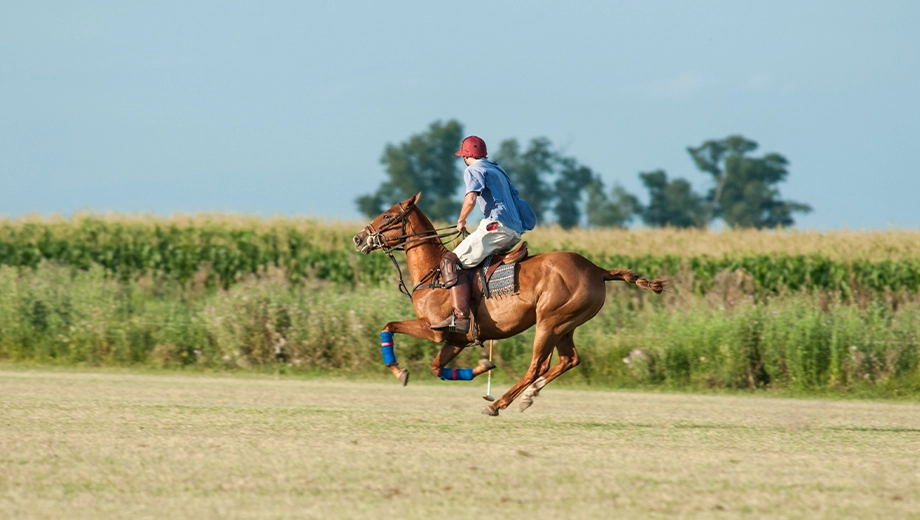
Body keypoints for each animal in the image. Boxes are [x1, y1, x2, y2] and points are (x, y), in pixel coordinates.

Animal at [350, 193, 660, 416]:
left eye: (388, 215)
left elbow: (388, 326)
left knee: (537, 365)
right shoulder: (457, 339)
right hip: (566, 324)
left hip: (549, 321)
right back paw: (528, 396)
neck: (432, 272)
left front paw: (399, 371)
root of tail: (597, 270)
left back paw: (497, 404)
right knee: (568, 359)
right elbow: (437, 367)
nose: (358, 238)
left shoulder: (434, 328)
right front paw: (482, 366)